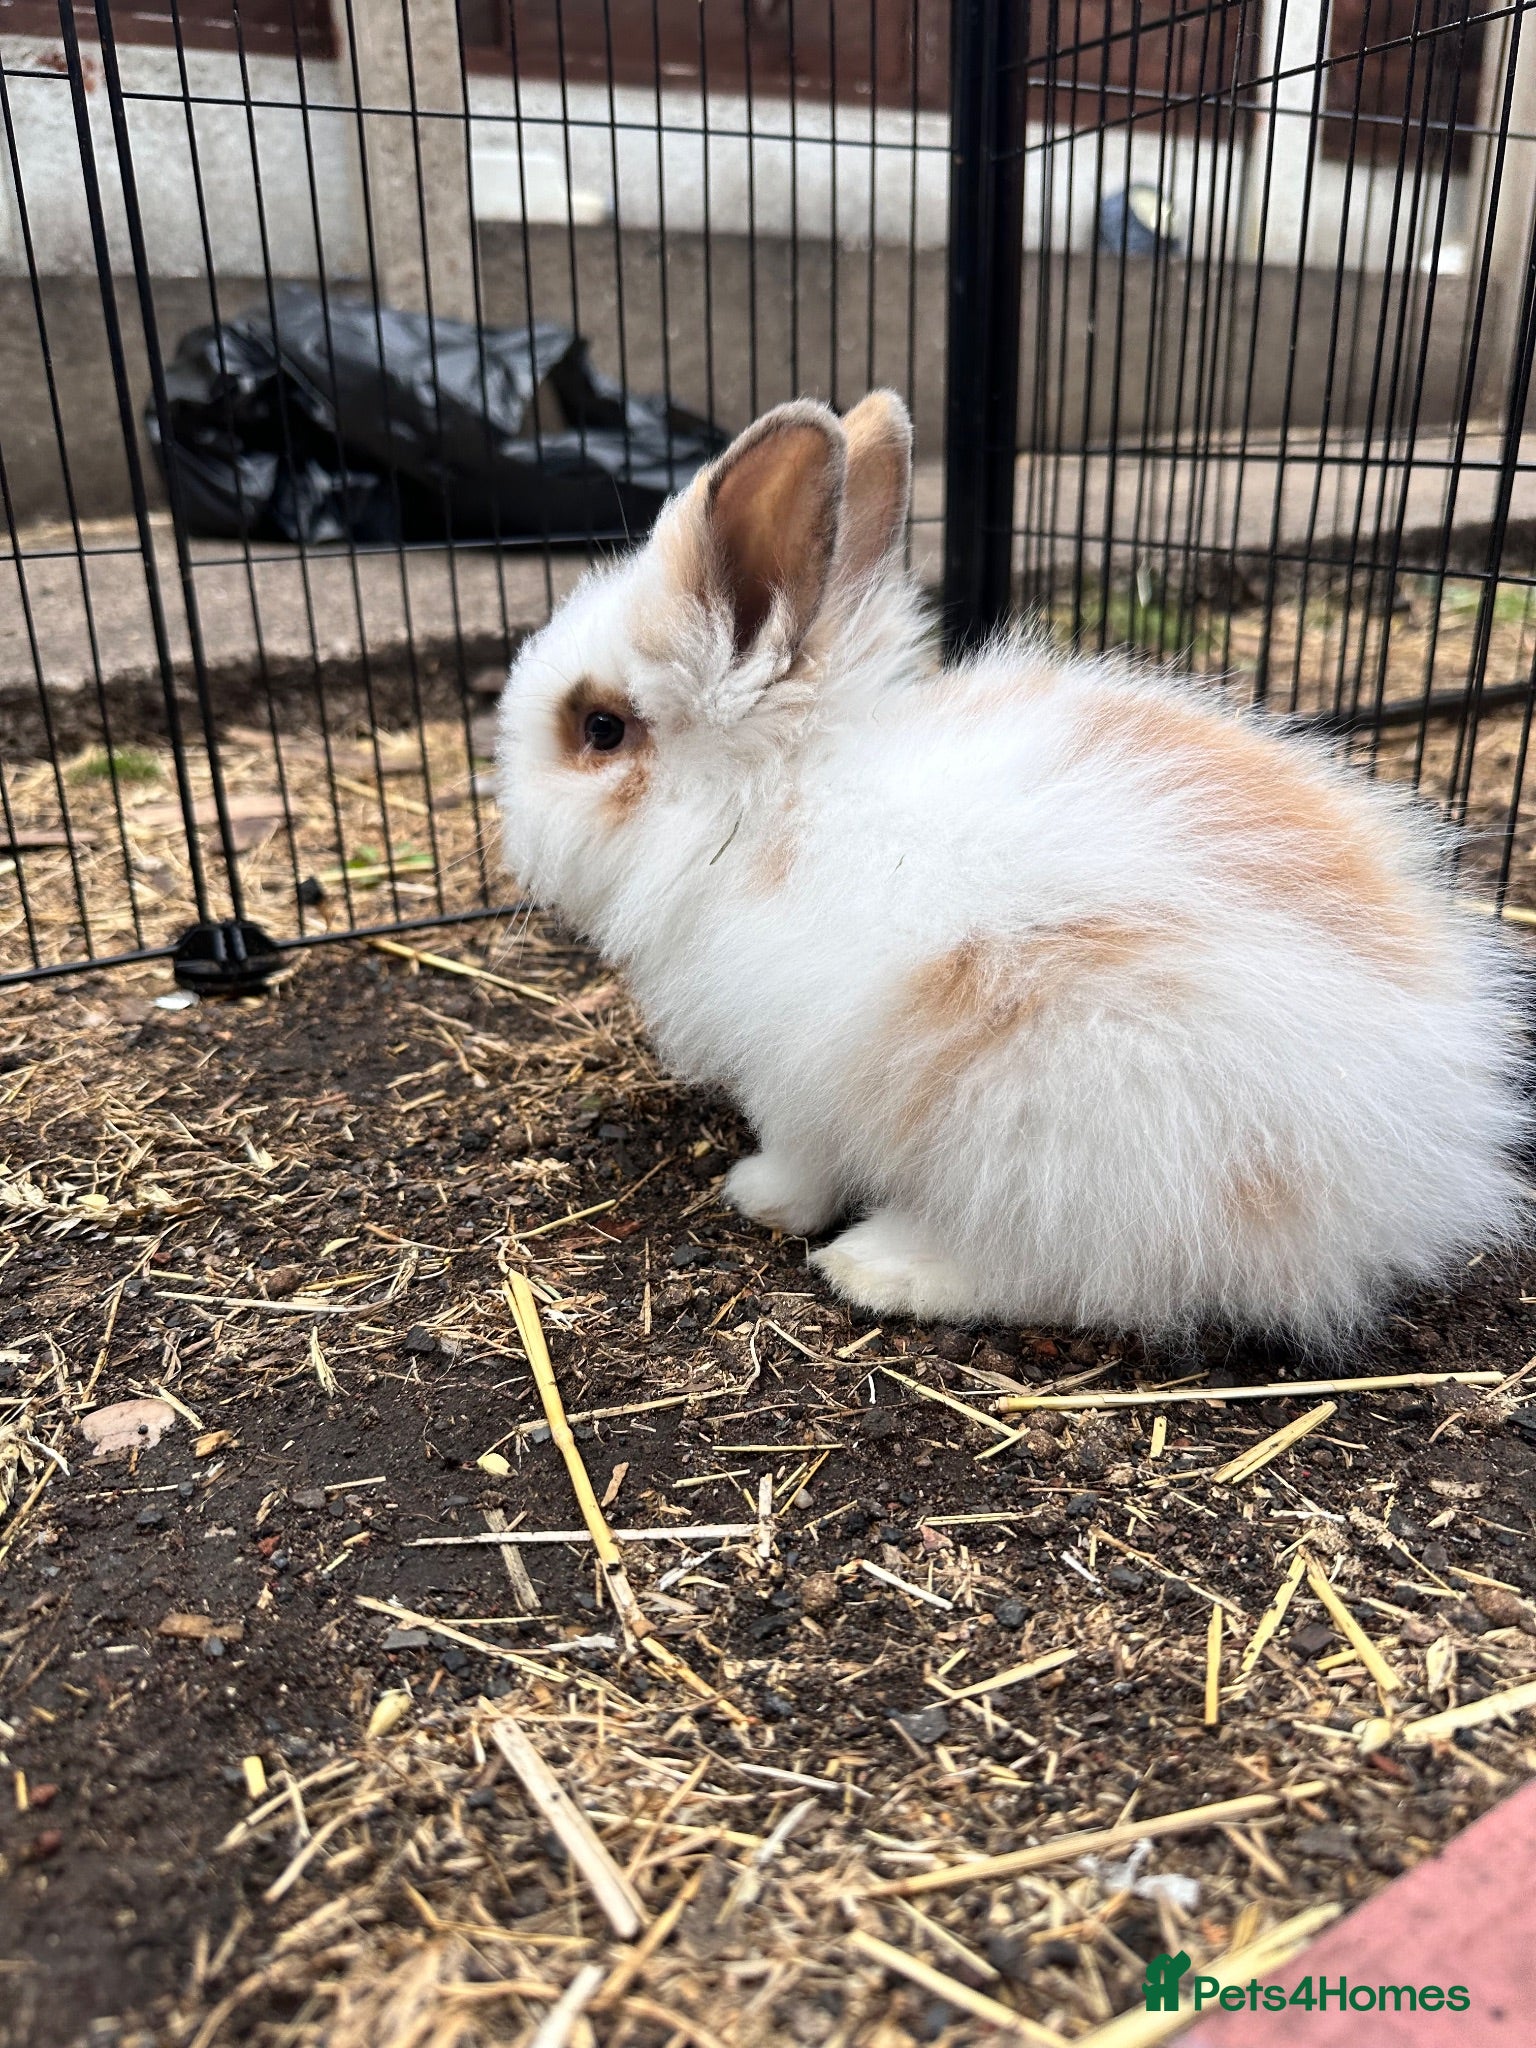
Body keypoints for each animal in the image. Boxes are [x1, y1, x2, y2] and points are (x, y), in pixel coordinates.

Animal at [496, 389, 1532, 1342]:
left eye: (600, 729)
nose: (506, 807)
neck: (772, 798)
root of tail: (1401, 1177)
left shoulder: (797, 1069)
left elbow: (803, 1154)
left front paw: (757, 1196)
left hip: (1064, 1124)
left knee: (1077, 1273)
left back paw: (881, 1266)